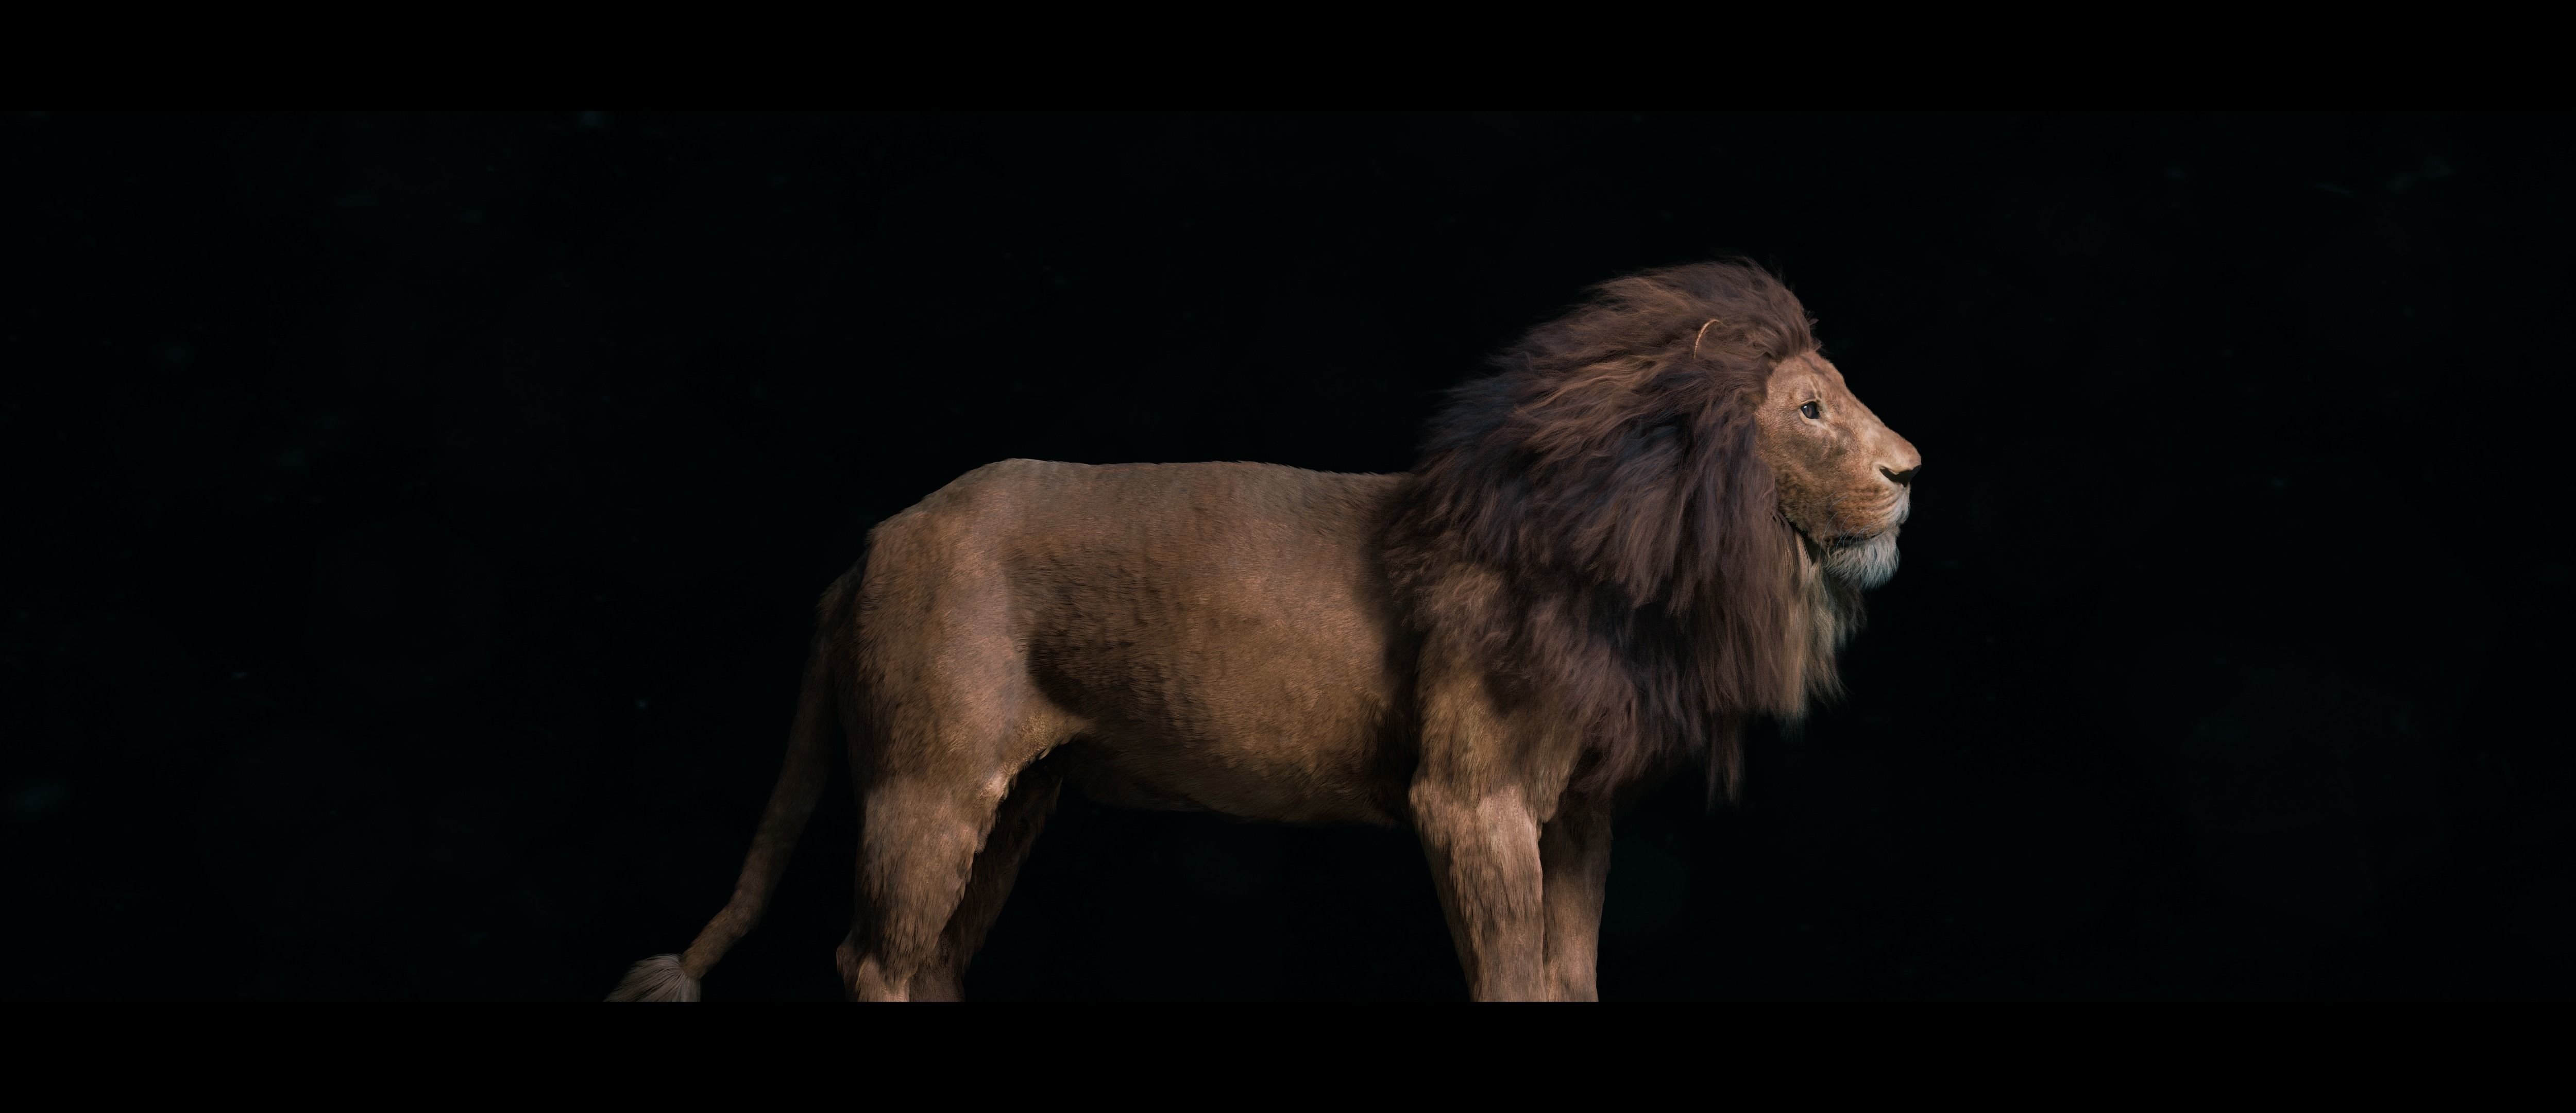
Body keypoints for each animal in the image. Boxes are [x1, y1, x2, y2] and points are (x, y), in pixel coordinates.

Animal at [607, 259, 1921, 1001]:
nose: (1911, 471)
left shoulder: (1576, 813)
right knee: (874, 959)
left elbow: (1570, 971)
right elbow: (1512, 977)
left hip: (1017, 797)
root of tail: (877, 539)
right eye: (1811, 409)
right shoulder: (1471, 798)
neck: (1629, 553)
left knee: (933, 960)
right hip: (927, 786)